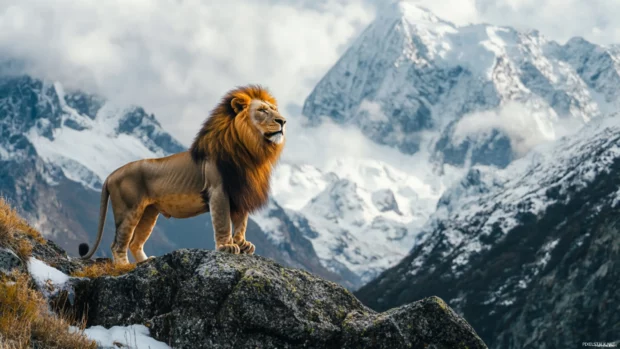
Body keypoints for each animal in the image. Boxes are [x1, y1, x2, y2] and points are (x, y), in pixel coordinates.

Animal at [78, 84, 288, 264]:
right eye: (262, 110)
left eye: (274, 109)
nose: (283, 121)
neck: (251, 151)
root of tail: (111, 174)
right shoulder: (218, 190)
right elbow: (222, 221)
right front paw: (226, 246)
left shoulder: (241, 191)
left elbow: (241, 222)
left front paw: (242, 244)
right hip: (128, 209)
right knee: (118, 244)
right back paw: (123, 267)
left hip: (148, 212)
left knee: (135, 242)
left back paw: (145, 262)